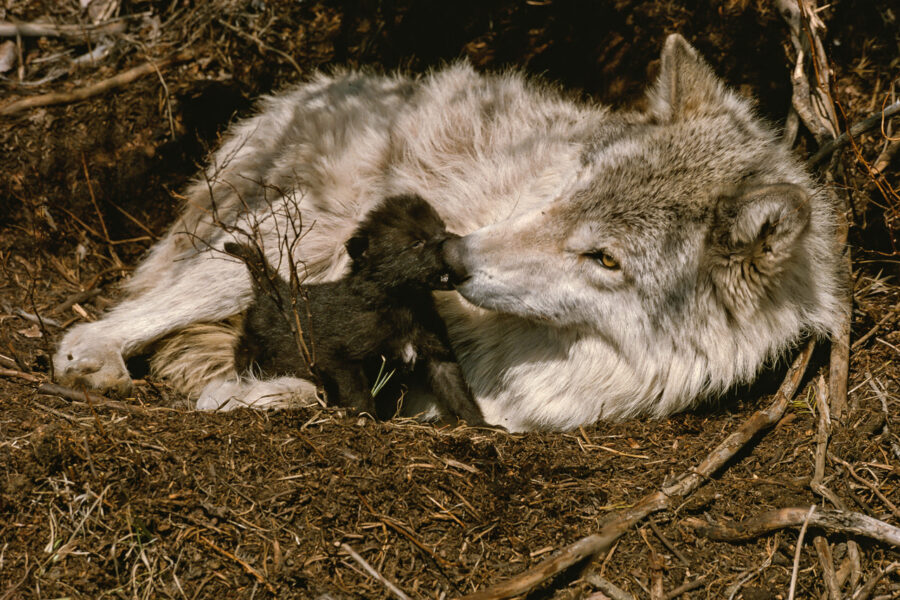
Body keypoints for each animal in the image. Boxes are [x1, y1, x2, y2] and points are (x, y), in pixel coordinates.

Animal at [226, 194, 485, 425]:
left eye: (442, 229)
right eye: (416, 243)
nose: (454, 242)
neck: (401, 304)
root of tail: (274, 290)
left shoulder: (438, 356)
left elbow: (457, 392)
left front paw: (479, 424)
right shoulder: (343, 359)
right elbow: (358, 392)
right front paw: (365, 418)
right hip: (254, 354)